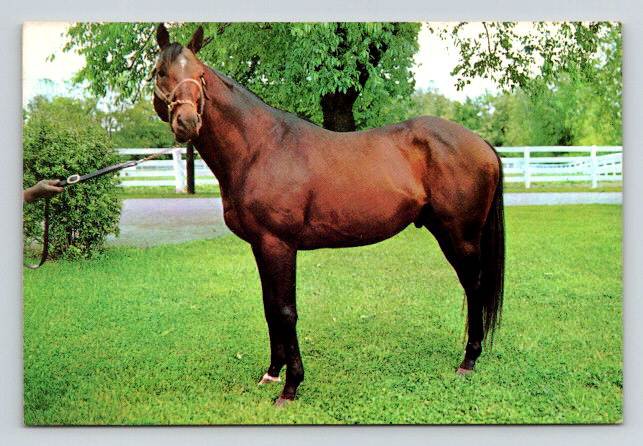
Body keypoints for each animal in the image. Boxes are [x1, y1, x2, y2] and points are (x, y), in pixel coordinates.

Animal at [152, 24, 505, 406]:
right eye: (161, 72)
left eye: (200, 75)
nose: (187, 122)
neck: (260, 148)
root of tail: (482, 145)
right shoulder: (261, 246)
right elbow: (270, 307)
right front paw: (272, 373)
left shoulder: (279, 245)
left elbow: (286, 311)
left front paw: (291, 387)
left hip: (460, 236)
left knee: (475, 286)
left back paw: (468, 360)